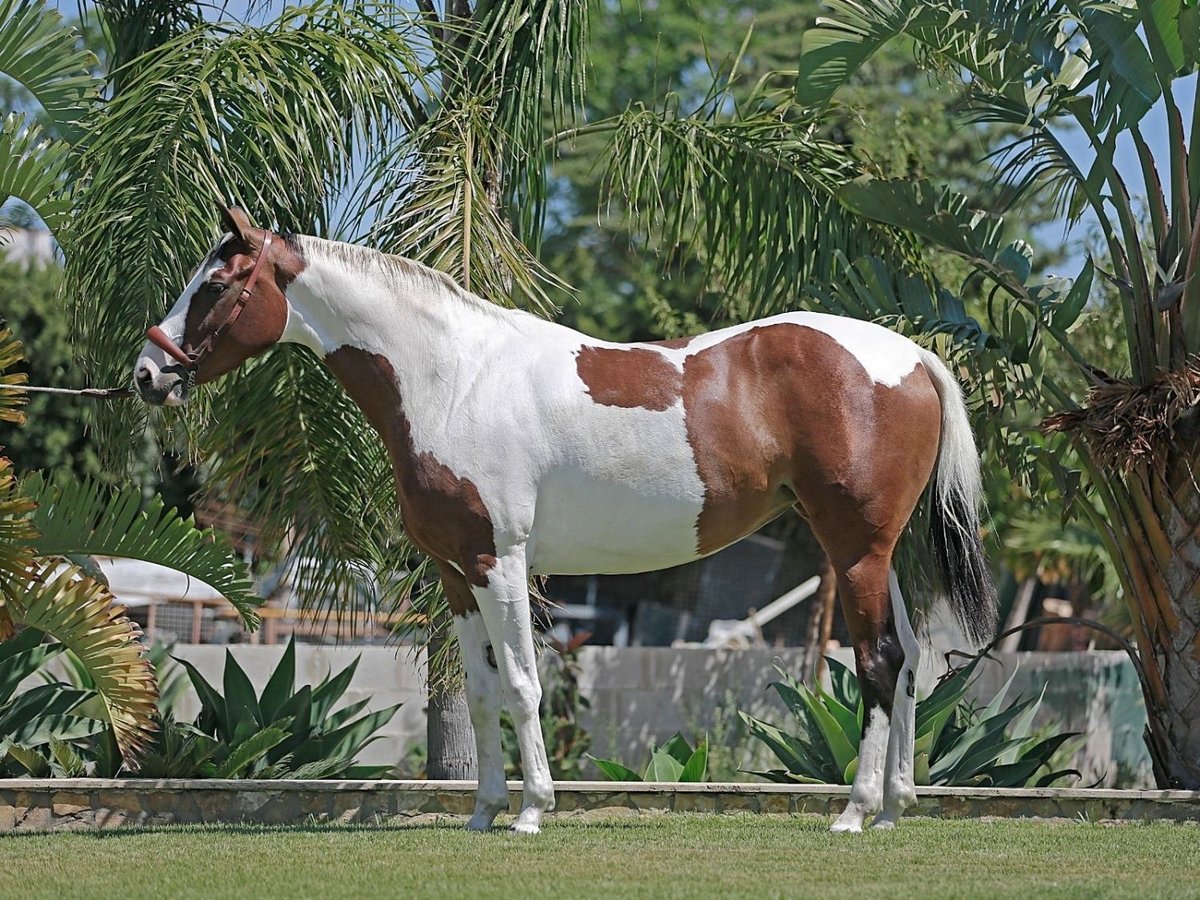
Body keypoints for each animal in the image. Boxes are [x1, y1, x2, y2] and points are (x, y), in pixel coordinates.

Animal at [133, 207, 993, 835]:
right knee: (912, 661)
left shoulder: (503, 562)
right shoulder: (456, 573)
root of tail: (911, 358)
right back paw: (896, 809)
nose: (146, 375)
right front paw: (484, 812)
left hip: (854, 550)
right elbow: (481, 689)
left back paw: (853, 813)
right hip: (883, 555)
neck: (453, 379)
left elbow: (522, 682)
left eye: (216, 284)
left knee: (880, 661)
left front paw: (532, 812)